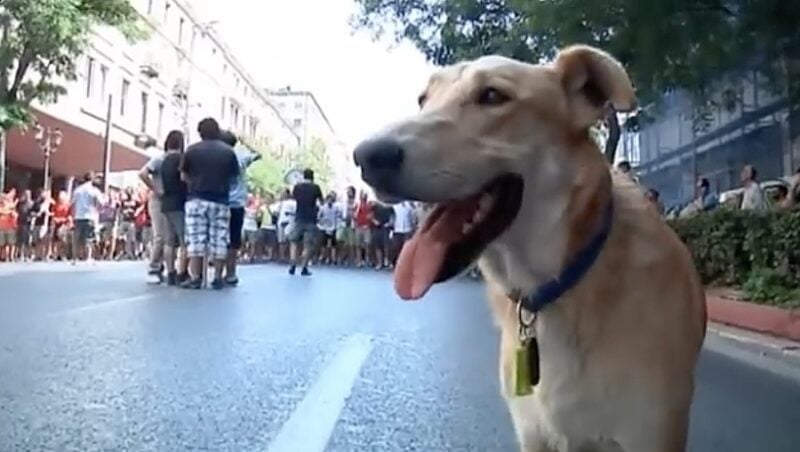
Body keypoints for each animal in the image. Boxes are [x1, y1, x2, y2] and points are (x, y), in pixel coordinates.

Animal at [354, 43, 704, 452]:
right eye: (424, 99)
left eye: (492, 96)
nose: (366, 156)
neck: (556, 285)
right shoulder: (534, 434)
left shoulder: (650, 433)